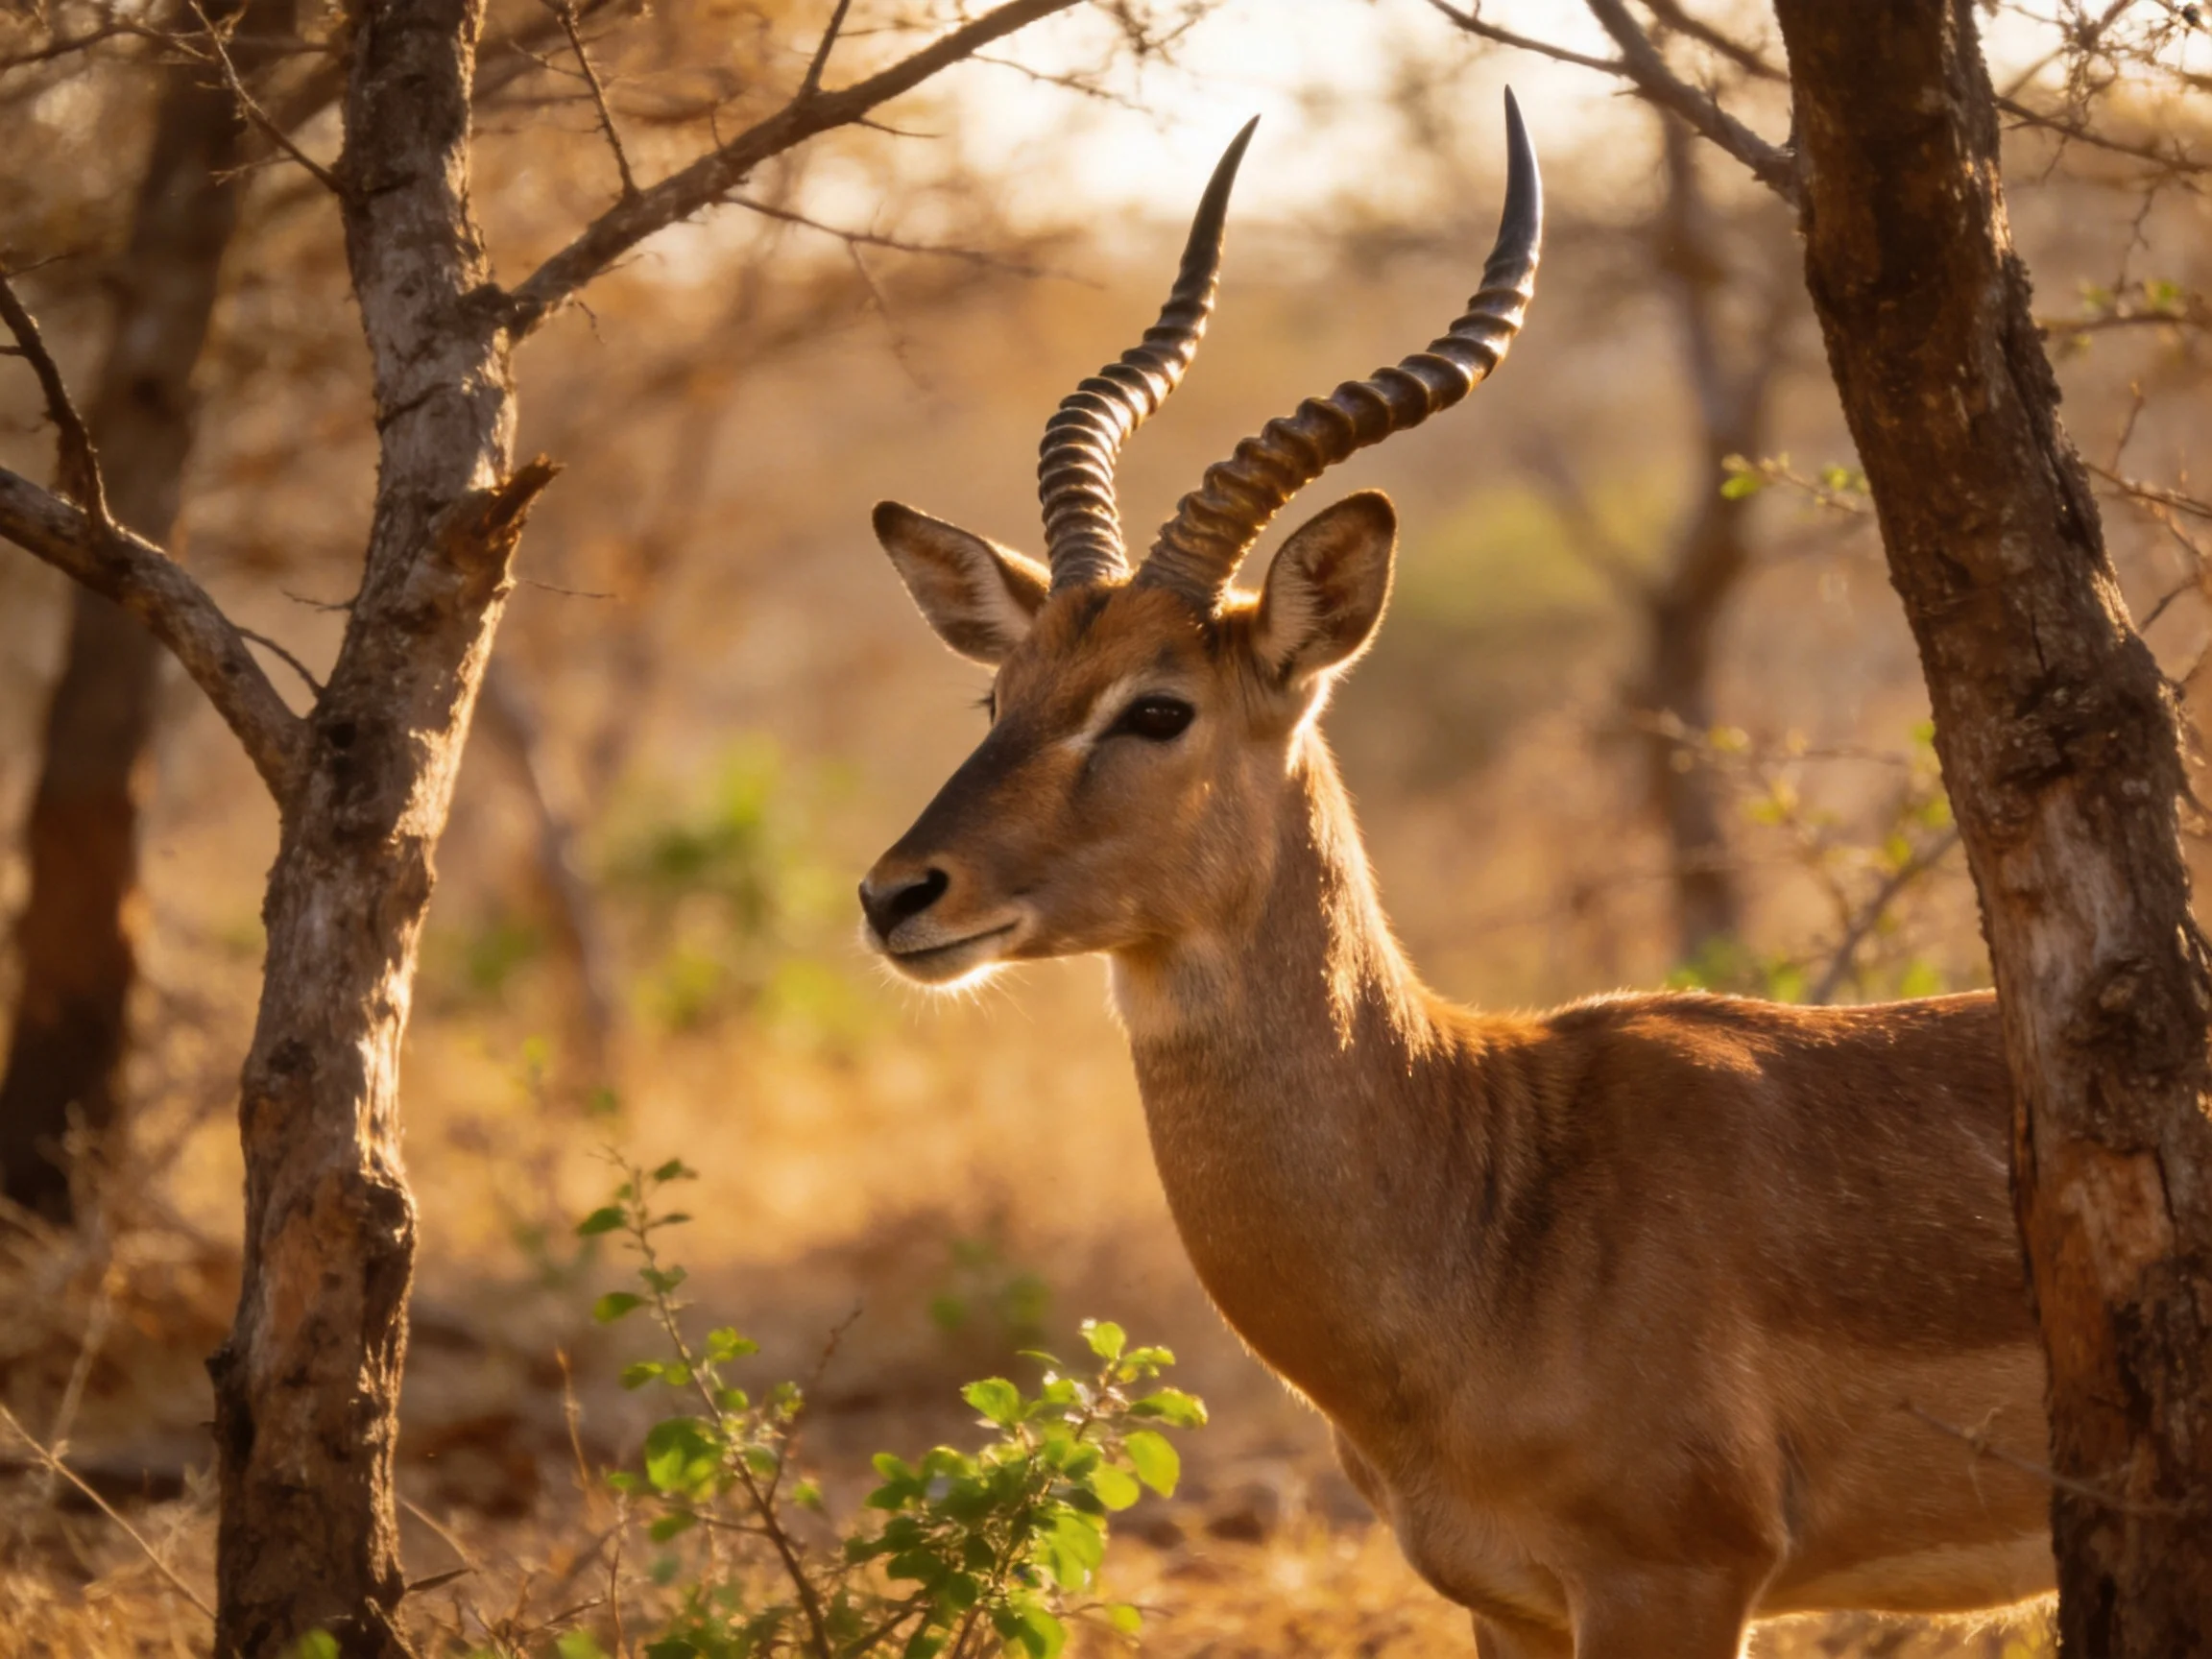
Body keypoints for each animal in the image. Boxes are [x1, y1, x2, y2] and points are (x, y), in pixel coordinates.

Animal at [858, 96, 2052, 1658]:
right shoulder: (1511, 1606)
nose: (900, 896)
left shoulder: (1674, 1582)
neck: (1491, 1192)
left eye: (1159, 708)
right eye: (1001, 694)